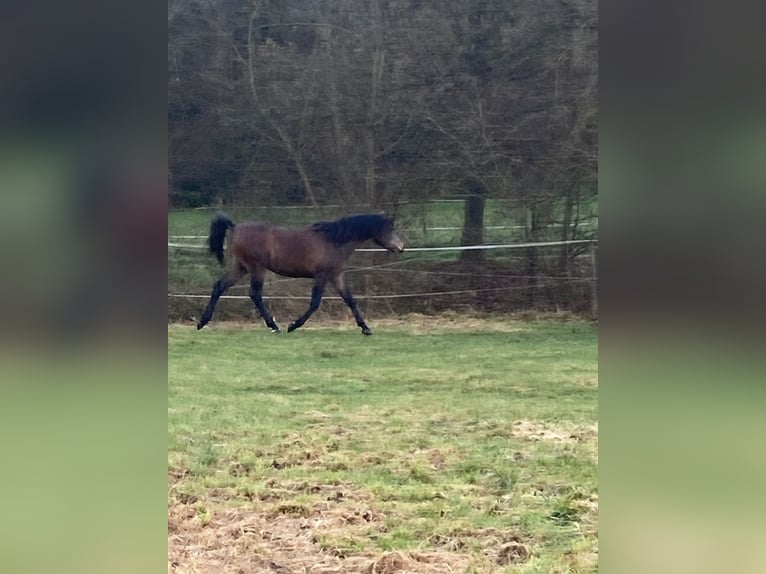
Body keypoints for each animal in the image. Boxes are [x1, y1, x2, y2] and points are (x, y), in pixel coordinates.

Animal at [195, 214, 404, 336]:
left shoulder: (336, 276)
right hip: (256, 268)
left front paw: (365, 328)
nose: (401, 247)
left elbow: (350, 299)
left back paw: (202, 322)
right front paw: (293, 325)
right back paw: (274, 326)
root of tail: (235, 227)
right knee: (254, 294)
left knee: (219, 286)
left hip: (241, 268)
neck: (334, 241)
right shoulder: (322, 276)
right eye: (390, 228)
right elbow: (314, 304)